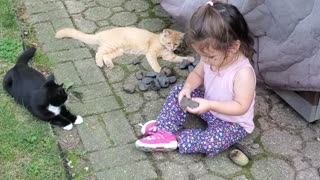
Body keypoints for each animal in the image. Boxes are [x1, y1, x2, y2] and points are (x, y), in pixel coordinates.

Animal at [55, 27, 194, 72]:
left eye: (176, 44)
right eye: (169, 42)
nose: (172, 47)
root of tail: (101, 33)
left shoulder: (169, 56)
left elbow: (179, 58)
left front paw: (190, 58)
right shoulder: (151, 53)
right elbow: (155, 63)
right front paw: (159, 70)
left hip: (117, 51)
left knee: (105, 56)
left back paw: (109, 65)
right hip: (111, 45)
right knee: (99, 52)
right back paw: (100, 64)